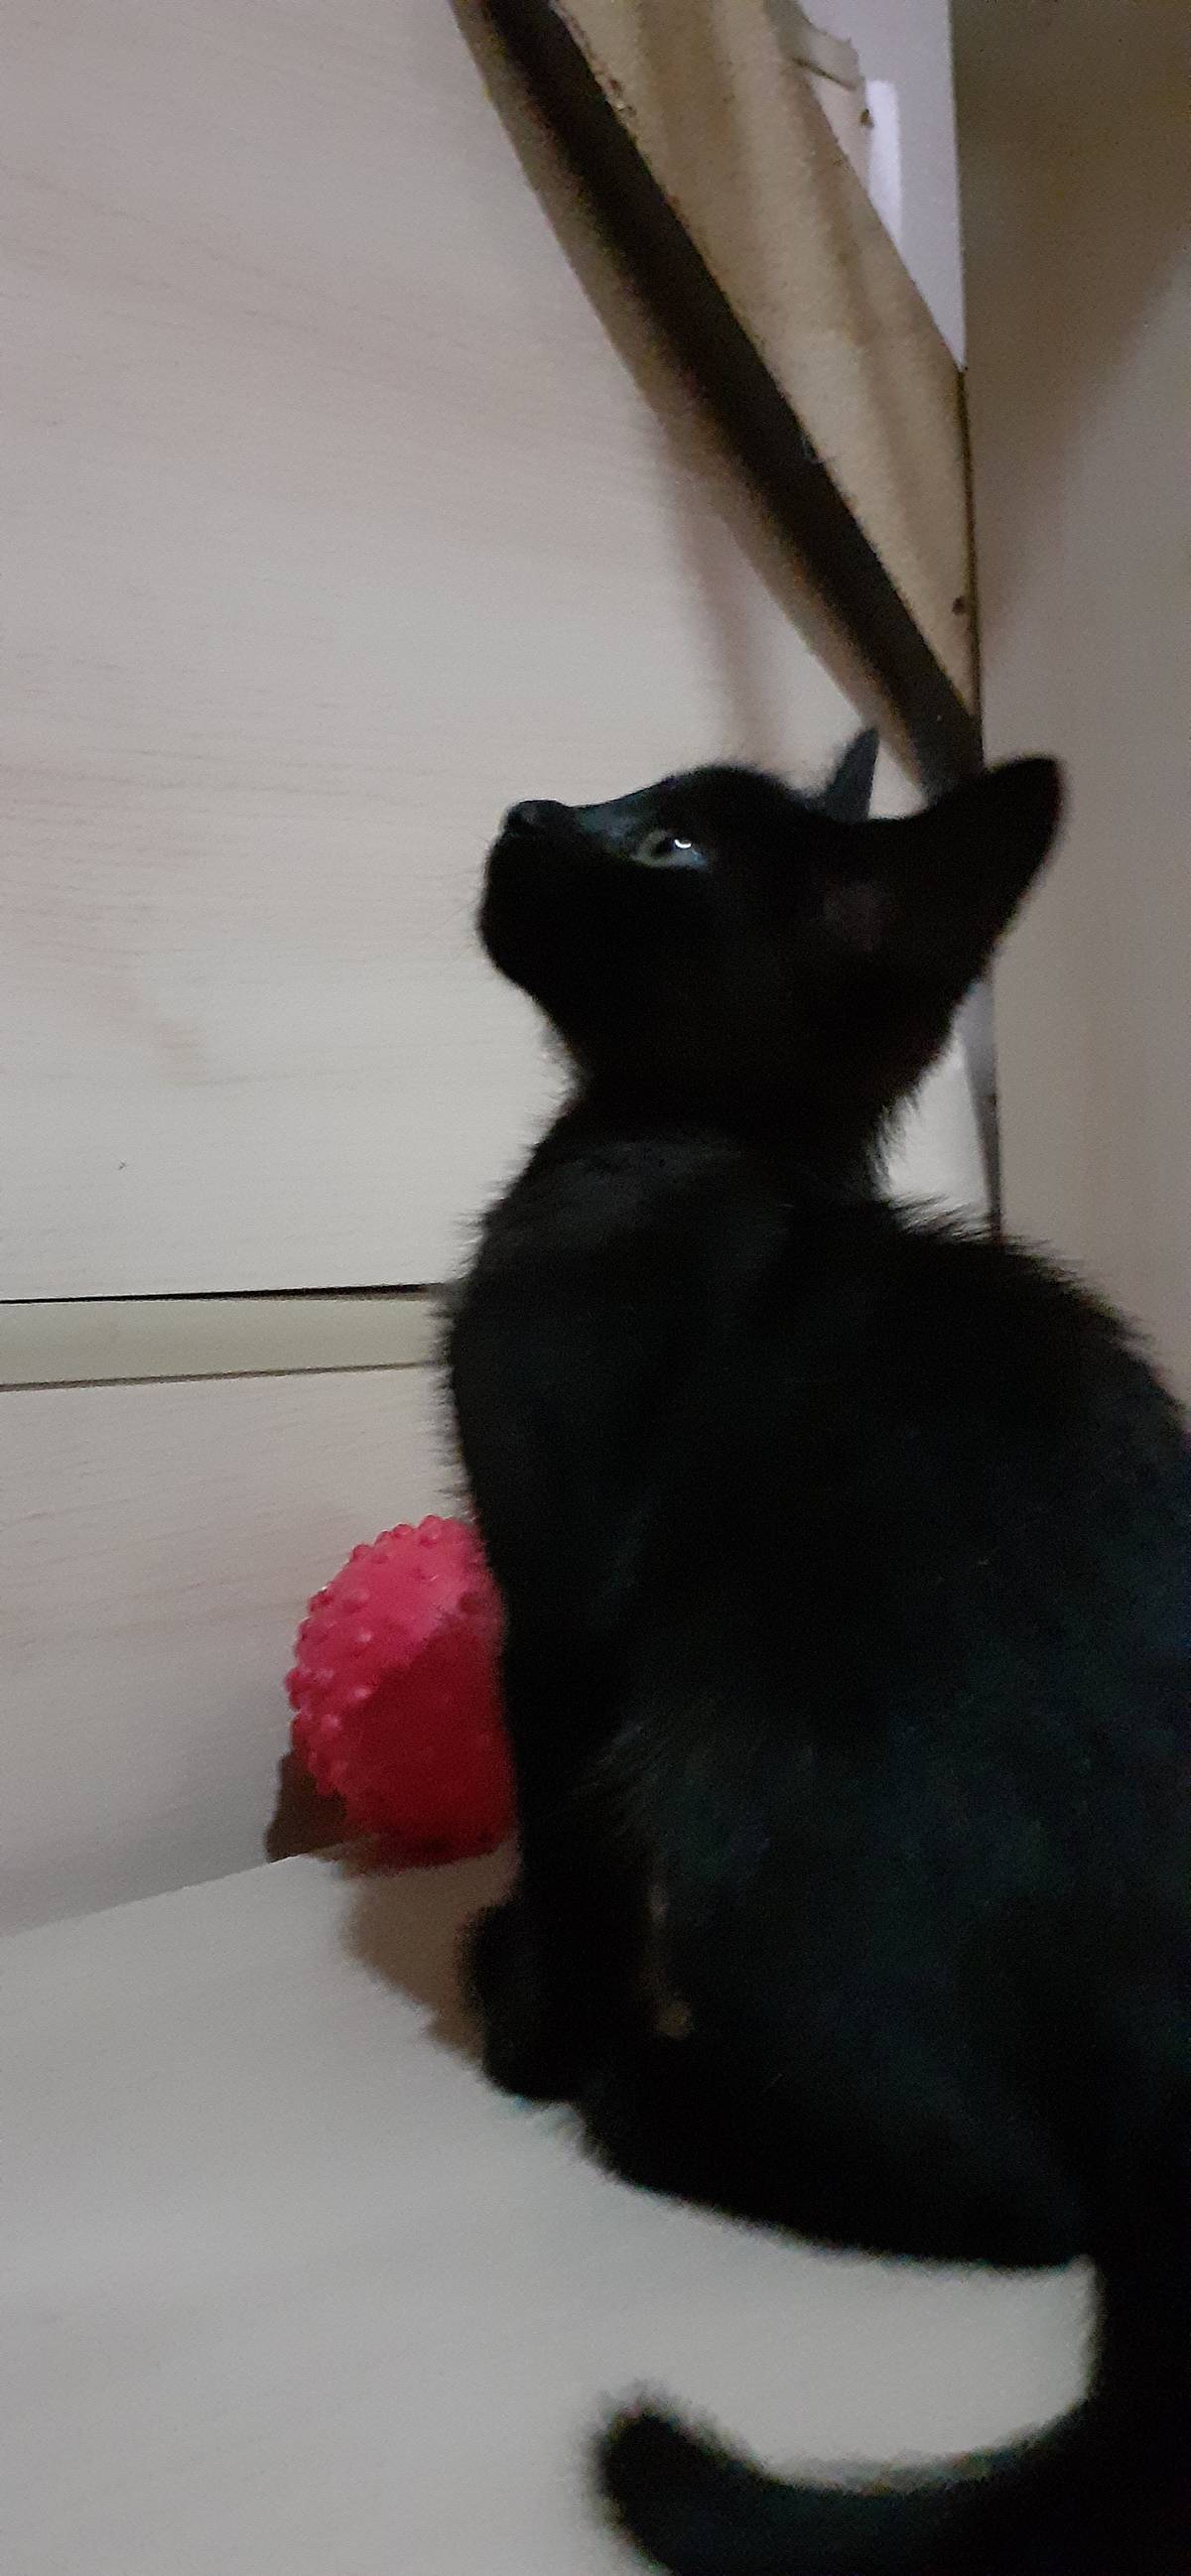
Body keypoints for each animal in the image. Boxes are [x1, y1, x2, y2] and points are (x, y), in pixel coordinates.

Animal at [447, 736, 1190, 2574]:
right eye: (626, 800)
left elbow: (568, 1845)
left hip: (749, 1771)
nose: (527, 813)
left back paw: (652, 2099)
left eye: (666, 846)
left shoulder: (564, 1619)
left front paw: (534, 2028)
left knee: (1014, 2199)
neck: (635, 1147)